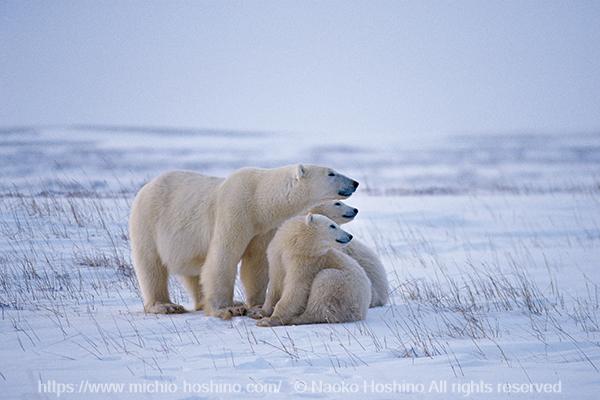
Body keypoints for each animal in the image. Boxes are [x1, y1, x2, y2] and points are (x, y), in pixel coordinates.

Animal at [129, 163, 358, 318]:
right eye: (331, 173)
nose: (355, 182)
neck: (258, 199)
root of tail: (146, 186)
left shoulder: (263, 228)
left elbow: (256, 263)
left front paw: (256, 306)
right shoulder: (235, 210)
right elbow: (223, 257)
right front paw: (228, 308)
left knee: (193, 271)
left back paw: (201, 302)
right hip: (148, 221)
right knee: (150, 265)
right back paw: (165, 305)